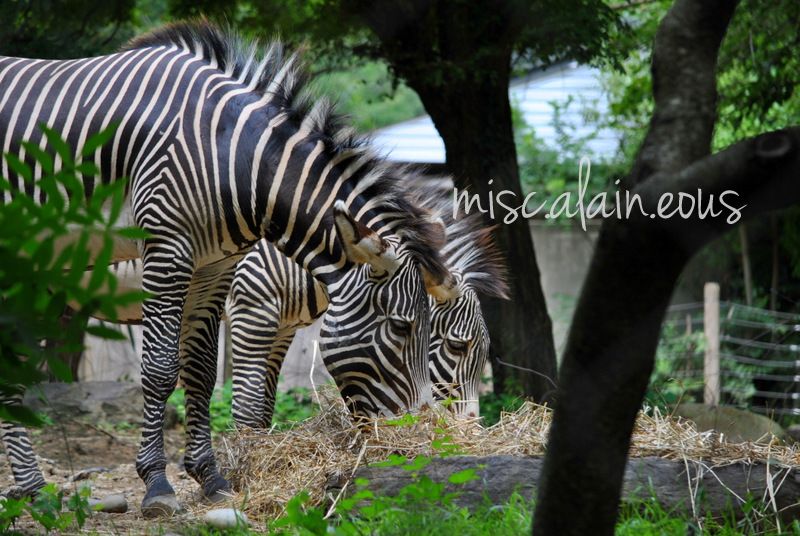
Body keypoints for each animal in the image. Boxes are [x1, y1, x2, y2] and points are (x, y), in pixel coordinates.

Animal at [1, 21, 456, 516]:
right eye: (402, 327)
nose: (419, 444)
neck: (234, 158)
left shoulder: (215, 266)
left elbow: (201, 371)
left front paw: (210, 477)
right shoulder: (170, 250)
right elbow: (162, 370)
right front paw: (157, 484)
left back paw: (31, 489)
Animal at [228, 175, 510, 428]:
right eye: (457, 345)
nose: (470, 430)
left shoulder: (284, 329)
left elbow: (265, 408)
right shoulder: (251, 311)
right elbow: (248, 409)